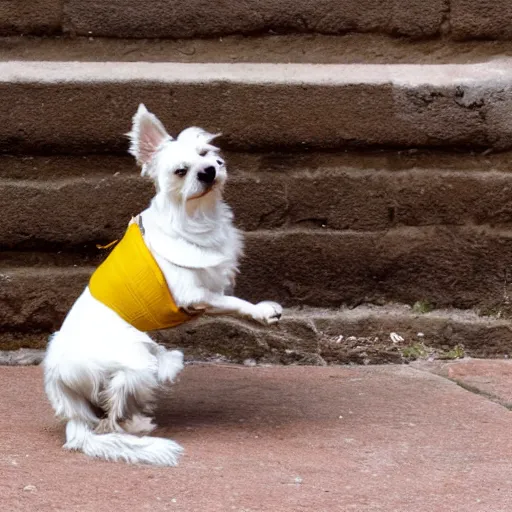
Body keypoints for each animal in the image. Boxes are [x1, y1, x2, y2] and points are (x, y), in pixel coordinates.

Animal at [43, 106, 284, 466]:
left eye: (205, 154)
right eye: (181, 172)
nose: (209, 171)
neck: (196, 214)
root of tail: (61, 386)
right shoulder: (193, 294)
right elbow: (231, 302)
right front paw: (258, 312)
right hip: (133, 359)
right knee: (113, 412)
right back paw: (139, 420)